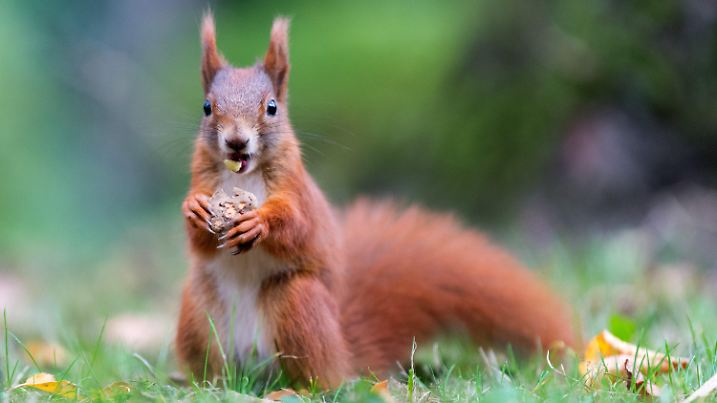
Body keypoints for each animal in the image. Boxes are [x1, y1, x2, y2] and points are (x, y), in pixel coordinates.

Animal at [176, 13, 577, 389]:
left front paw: (259, 223)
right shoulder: (204, 180)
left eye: (272, 107)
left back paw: (308, 386)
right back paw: (209, 384)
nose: (236, 142)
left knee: (317, 375)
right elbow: (199, 242)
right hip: (197, 313)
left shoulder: (300, 193)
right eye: (207, 107)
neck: (243, 176)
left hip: (298, 305)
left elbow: (300, 227)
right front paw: (193, 209)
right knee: (213, 367)